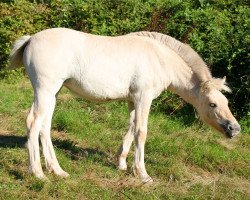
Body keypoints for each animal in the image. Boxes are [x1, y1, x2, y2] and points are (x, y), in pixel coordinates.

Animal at [9, 28, 240, 183]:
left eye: (226, 102)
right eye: (212, 104)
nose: (235, 129)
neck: (159, 59)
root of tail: (31, 39)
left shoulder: (132, 100)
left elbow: (130, 128)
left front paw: (121, 164)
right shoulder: (143, 98)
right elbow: (141, 132)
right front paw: (143, 174)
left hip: (53, 94)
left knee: (45, 127)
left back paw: (57, 170)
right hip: (45, 90)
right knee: (33, 123)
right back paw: (38, 174)